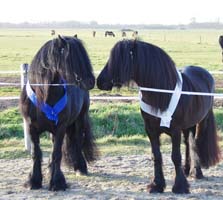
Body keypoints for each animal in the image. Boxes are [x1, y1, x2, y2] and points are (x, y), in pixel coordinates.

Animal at [19, 35, 97, 191]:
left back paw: (80, 167)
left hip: (79, 120)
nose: (91, 81)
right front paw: (33, 181)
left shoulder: (60, 127)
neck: (45, 95)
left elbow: (57, 153)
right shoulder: (31, 128)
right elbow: (36, 153)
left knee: (77, 141)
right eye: (72, 58)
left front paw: (57, 182)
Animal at [96, 38, 220, 194]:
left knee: (193, 143)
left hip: (199, 122)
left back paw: (196, 172)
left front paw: (180, 186)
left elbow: (175, 156)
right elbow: (156, 156)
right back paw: (186, 170)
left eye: (120, 59)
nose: (100, 81)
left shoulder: (175, 130)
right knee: (187, 142)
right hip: (188, 125)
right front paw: (157, 184)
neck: (162, 93)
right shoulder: (151, 130)